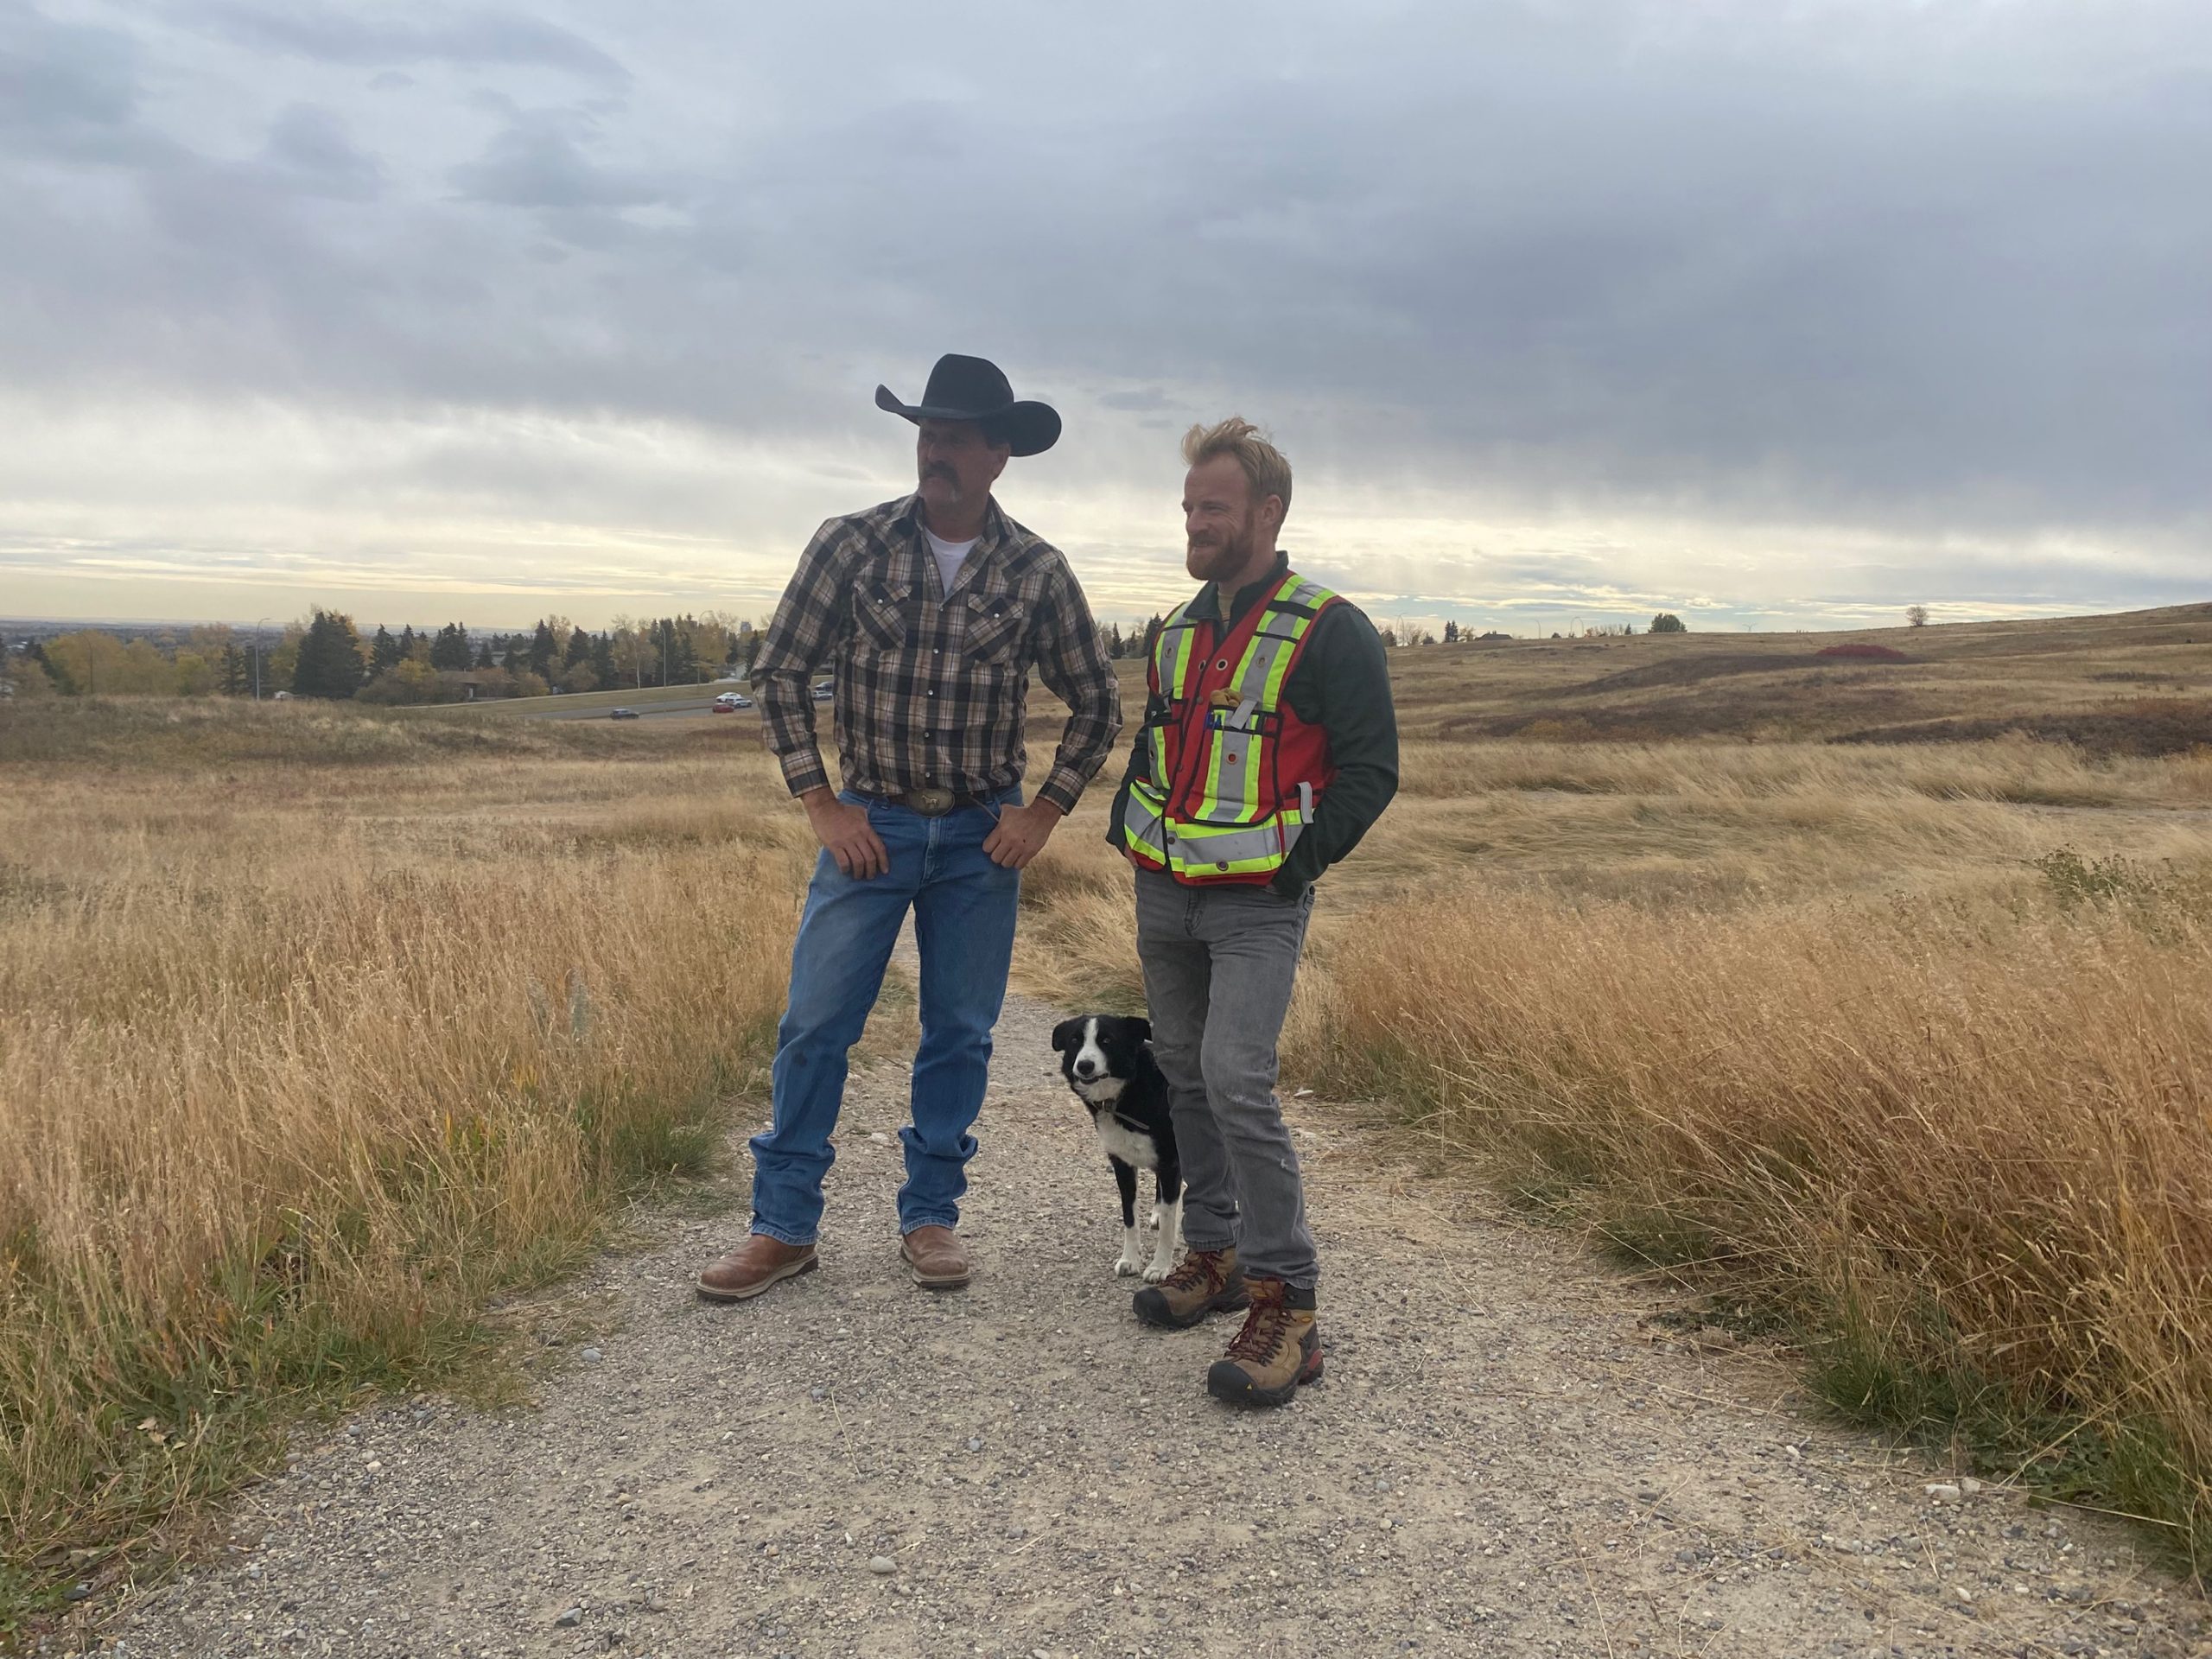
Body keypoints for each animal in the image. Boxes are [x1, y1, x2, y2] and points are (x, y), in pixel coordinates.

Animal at [1048, 1021, 1185, 1282]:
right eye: (1074, 1041)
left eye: (1107, 1040)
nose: (1084, 1065)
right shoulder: (1122, 1164)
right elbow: (1130, 1218)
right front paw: (1130, 1260)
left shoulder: (1170, 1162)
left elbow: (1168, 1226)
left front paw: (1160, 1266)